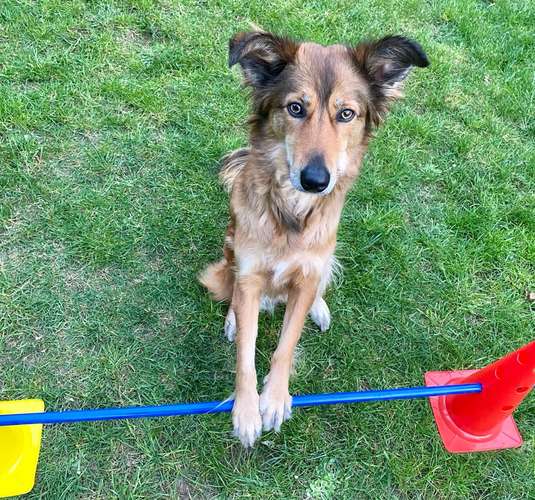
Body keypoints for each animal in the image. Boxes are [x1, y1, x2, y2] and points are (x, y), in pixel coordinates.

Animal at [199, 30, 430, 446]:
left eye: (346, 114)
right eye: (295, 108)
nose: (316, 180)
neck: (292, 211)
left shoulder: (307, 273)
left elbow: (287, 343)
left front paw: (274, 399)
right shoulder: (250, 274)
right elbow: (246, 353)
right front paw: (246, 410)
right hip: (230, 246)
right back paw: (233, 318)